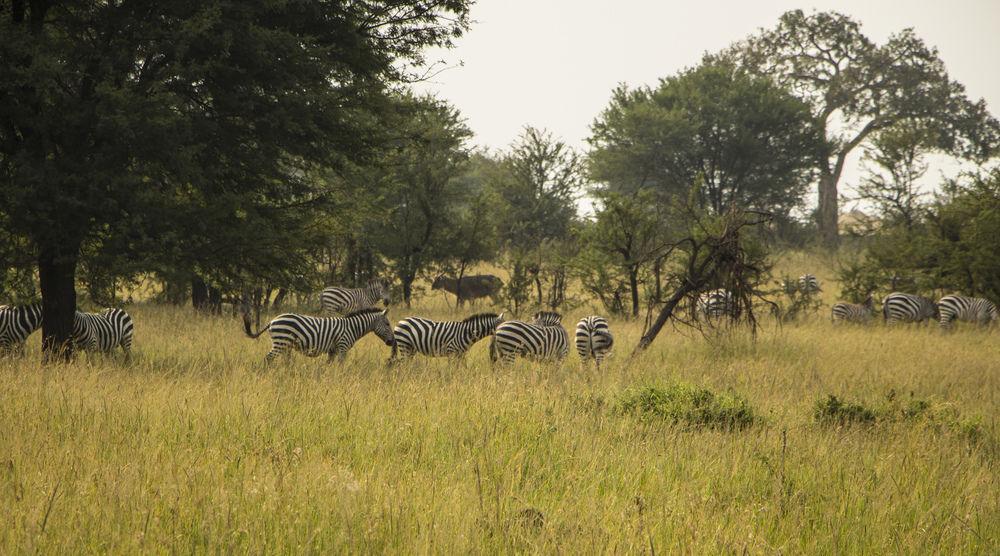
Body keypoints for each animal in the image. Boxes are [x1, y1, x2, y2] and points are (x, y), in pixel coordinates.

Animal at [243, 306, 394, 362]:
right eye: (387, 324)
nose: (392, 342)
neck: (352, 327)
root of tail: (272, 321)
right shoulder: (342, 347)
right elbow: (341, 366)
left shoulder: (333, 350)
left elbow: (329, 366)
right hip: (281, 342)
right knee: (268, 358)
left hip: (286, 345)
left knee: (286, 361)